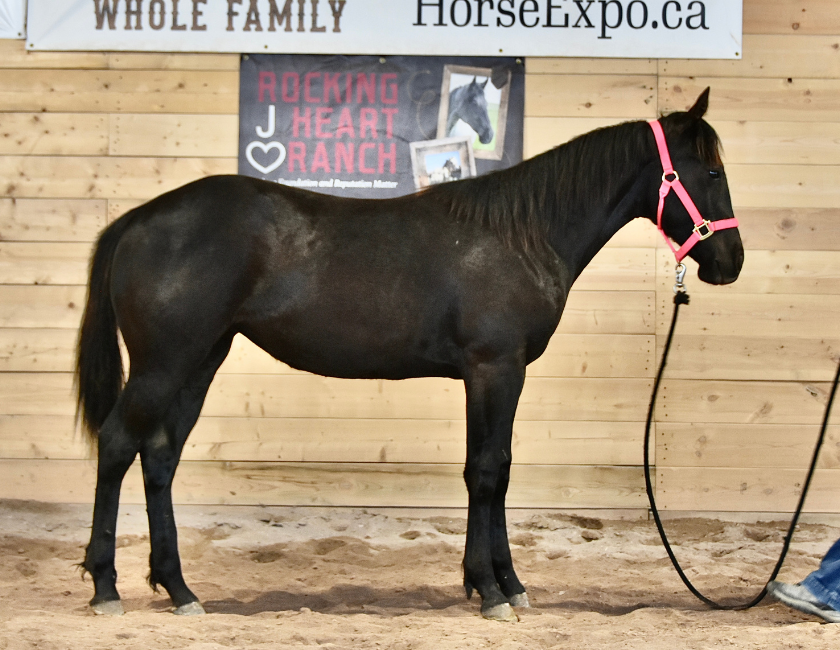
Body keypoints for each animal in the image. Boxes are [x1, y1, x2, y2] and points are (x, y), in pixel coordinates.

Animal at [75, 88, 743, 621]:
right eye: (710, 172)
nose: (730, 262)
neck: (520, 234)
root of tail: (137, 220)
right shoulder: (494, 369)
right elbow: (487, 472)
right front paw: (491, 592)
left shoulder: (496, 374)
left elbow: (496, 470)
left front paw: (505, 584)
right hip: (163, 364)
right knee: (117, 444)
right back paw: (106, 589)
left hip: (199, 362)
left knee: (159, 457)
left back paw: (180, 590)